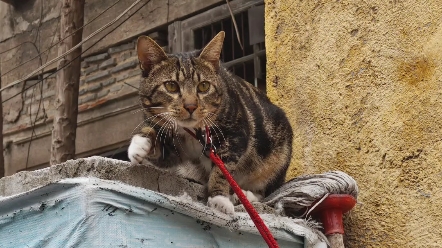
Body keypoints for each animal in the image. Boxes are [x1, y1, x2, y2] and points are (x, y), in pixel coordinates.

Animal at [128, 30, 294, 213]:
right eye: (171, 86)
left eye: (203, 86)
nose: (191, 106)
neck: (191, 132)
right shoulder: (172, 149)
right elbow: (157, 141)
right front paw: (138, 145)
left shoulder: (235, 137)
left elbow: (222, 170)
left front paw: (219, 199)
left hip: (277, 155)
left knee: (265, 190)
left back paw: (244, 195)